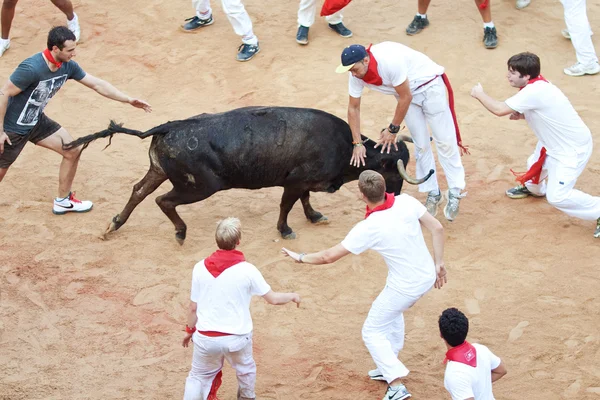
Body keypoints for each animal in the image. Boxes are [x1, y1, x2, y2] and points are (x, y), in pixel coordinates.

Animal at [67, 107, 432, 244]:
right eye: (392, 169)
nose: (397, 196)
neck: (343, 147)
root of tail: (169, 125)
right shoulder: (294, 181)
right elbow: (288, 205)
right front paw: (285, 230)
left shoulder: (303, 182)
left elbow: (305, 201)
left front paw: (314, 216)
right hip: (200, 186)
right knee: (162, 200)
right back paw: (181, 232)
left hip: (159, 170)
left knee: (139, 191)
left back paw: (114, 225)